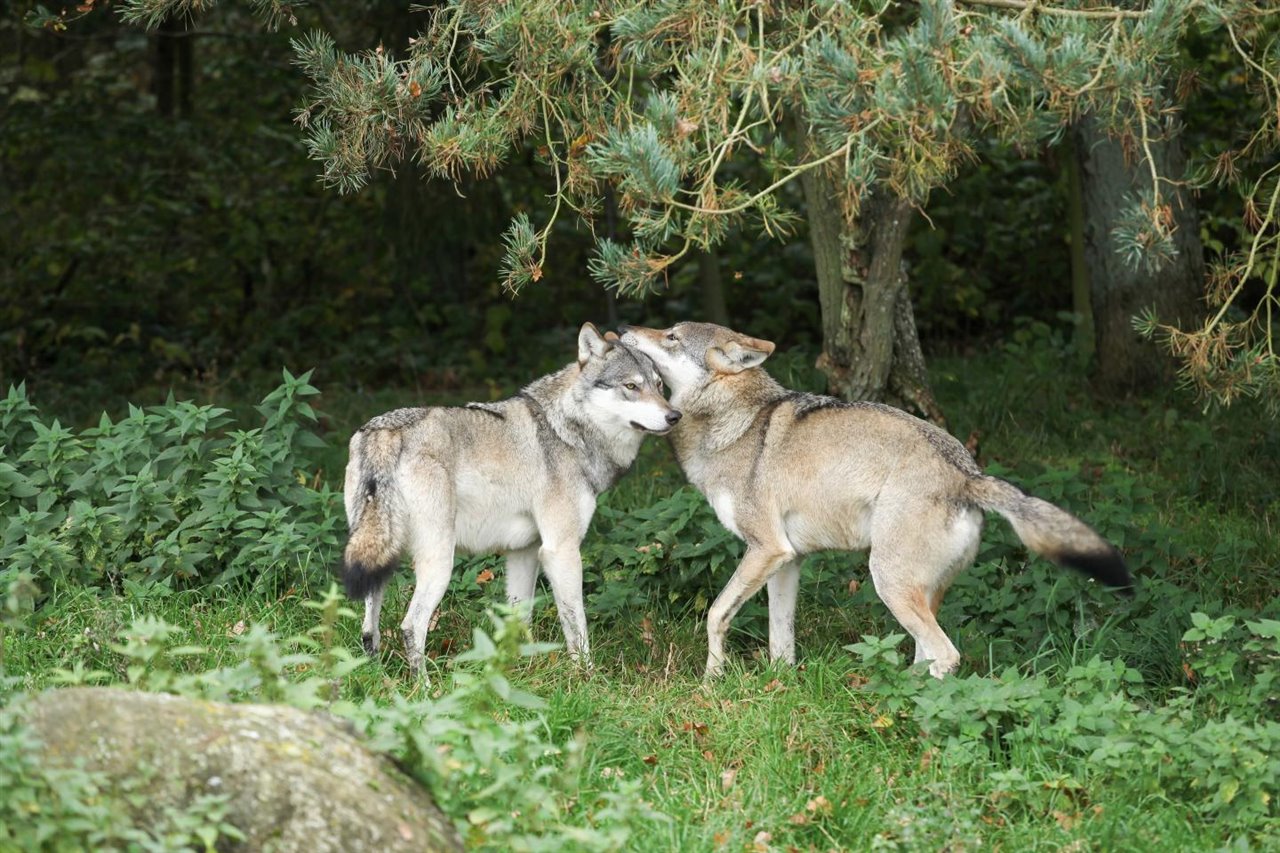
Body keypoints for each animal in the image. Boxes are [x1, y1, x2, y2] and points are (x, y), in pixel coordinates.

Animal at [340, 322, 680, 676]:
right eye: (631, 386)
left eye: (658, 385)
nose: (675, 416)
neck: (567, 431)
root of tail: (383, 432)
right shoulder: (561, 550)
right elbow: (577, 626)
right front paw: (586, 676)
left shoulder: (524, 552)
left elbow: (519, 618)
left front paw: (521, 670)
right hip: (439, 562)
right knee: (411, 625)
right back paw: (423, 686)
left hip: (379, 559)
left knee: (369, 628)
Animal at [619, 320, 1131, 676]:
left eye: (670, 336)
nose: (624, 329)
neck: (731, 421)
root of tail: (968, 474)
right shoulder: (786, 561)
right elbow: (780, 640)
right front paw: (777, 686)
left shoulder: (765, 550)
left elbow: (714, 615)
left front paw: (711, 682)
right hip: (916, 592)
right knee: (926, 654)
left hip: (888, 581)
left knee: (946, 655)